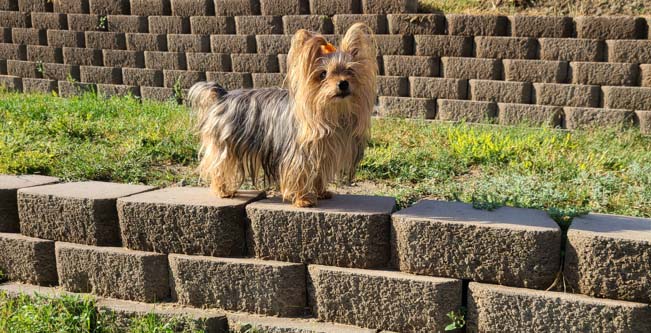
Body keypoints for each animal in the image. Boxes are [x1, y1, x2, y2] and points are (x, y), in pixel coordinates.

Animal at [188, 23, 376, 206]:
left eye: (350, 71)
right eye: (323, 74)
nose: (343, 84)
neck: (331, 112)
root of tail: (223, 95)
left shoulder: (322, 152)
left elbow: (318, 173)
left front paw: (321, 192)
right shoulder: (299, 154)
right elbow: (300, 174)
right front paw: (303, 199)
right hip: (225, 144)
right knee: (218, 165)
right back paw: (223, 190)